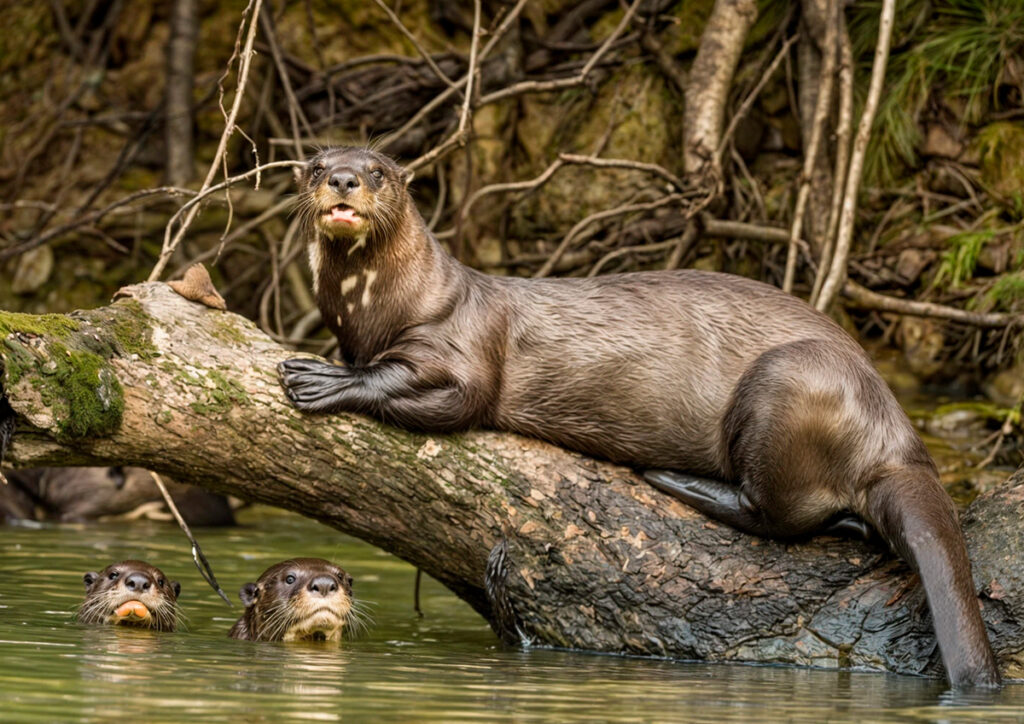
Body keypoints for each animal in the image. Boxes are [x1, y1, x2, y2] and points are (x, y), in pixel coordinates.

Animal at [278, 147, 999, 692]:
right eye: (316, 164)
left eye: (375, 170)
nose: (343, 179)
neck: (382, 310)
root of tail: (895, 432)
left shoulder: (460, 348)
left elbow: (450, 394)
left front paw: (325, 378)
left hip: (785, 384)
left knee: (779, 515)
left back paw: (676, 481)